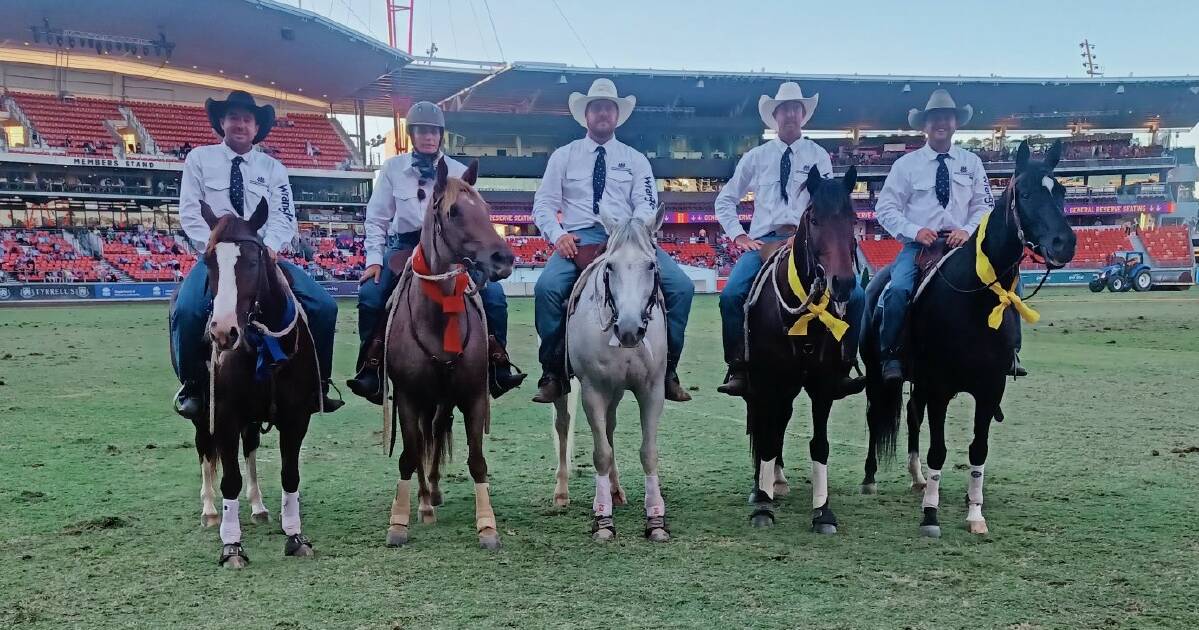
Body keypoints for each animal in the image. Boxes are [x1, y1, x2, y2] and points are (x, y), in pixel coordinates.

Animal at [187, 199, 321, 566]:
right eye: (208, 260)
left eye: (252, 259)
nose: (223, 332)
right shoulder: (226, 415)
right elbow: (229, 479)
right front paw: (231, 545)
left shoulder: (296, 417)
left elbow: (290, 474)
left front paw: (295, 536)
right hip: (203, 414)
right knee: (205, 451)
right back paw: (209, 510)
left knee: (249, 449)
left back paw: (259, 506)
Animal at [381, 158, 513, 549]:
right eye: (453, 211)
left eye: (486, 208)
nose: (504, 258)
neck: (437, 320)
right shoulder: (408, 398)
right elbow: (408, 456)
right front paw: (399, 522)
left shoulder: (472, 396)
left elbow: (477, 459)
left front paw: (487, 526)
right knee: (423, 442)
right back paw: (424, 502)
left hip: (443, 399)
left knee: (436, 433)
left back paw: (434, 493)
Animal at [551, 206, 676, 540]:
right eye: (610, 266)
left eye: (651, 264)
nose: (630, 329)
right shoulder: (593, 390)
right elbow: (601, 455)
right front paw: (603, 519)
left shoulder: (652, 390)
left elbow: (649, 452)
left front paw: (655, 519)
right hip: (568, 389)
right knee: (563, 426)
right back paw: (562, 493)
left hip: (616, 391)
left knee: (609, 428)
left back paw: (616, 490)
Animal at [738, 165, 863, 530]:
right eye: (815, 219)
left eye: (853, 218)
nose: (843, 283)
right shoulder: (768, 381)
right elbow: (766, 437)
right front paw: (762, 506)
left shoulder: (822, 383)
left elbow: (819, 444)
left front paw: (823, 511)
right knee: (767, 424)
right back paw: (764, 486)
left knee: (780, 420)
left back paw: (777, 480)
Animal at [863, 141, 1079, 535]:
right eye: (1025, 193)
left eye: (1061, 192)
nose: (1064, 243)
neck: (973, 300)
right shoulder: (940, 388)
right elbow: (939, 450)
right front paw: (931, 514)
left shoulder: (990, 388)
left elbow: (978, 449)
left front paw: (975, 512)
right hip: (877, 374)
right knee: (876, 417)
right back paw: (871, 478)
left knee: (913, 417)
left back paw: (918, 478)